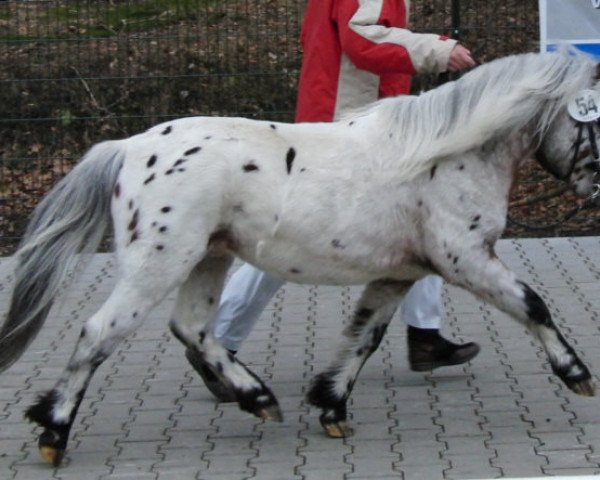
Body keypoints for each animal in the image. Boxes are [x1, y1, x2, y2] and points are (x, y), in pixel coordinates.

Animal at [1, 51, 600, 464]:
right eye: (594, 121)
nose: (594, 191)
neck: (446, 153)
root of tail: (128, 147)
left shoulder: (399, 274)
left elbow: (364, 338)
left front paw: (331, 406)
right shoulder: (466, 259)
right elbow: (534, 305)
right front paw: (577, 375)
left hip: (207, 260)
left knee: (192, 328)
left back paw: (257, 396)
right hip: (159, 262)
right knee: (100, 332)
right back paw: (55, 431)